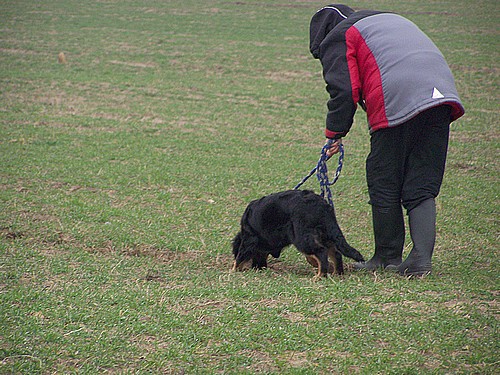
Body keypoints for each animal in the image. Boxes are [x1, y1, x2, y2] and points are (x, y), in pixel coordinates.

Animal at [232, 191, 366, 280]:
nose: (258, 268)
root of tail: (321, 204)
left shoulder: (249, 238)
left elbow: (240, 257)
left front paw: (233, 270)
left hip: (301, 237)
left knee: (321, 251)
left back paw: (320, 276)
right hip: (326, 233)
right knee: (336, 253)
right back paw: (337, 273)